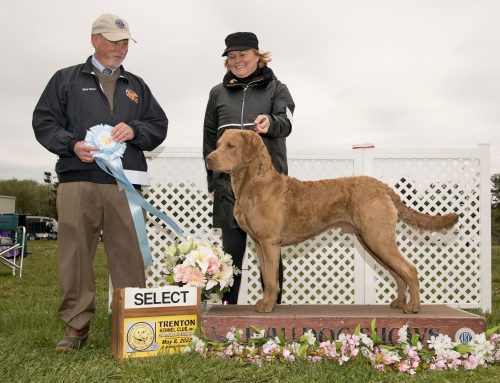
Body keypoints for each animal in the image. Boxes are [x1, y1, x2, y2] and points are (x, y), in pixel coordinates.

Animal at [205, 130, 458, 314]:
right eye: (218, 143)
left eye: (231, 146)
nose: (208, 157)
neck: (254, 183)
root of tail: (382, 186)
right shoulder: (259, 244)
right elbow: (267, 278)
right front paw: (265, 302)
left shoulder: (269, 242)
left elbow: (270, 278)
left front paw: (266, 306)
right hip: (372, 241)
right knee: (398, 273)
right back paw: (399, 302)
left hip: (378, 238)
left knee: (409, 269)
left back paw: (413, 307)